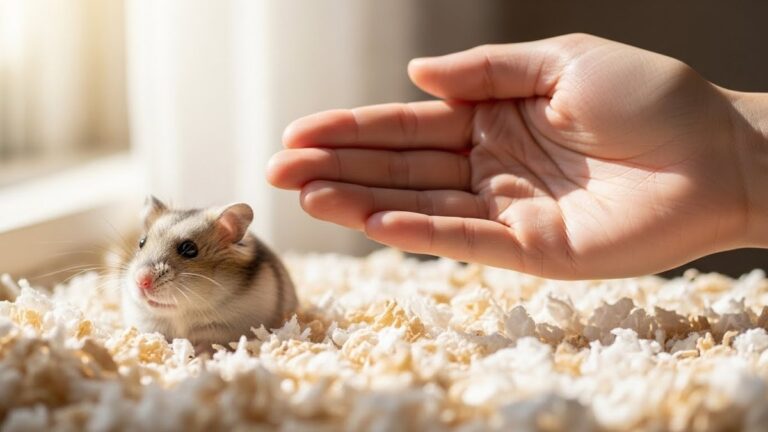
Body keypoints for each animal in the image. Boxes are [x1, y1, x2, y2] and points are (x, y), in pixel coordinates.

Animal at [119, 196, 297, 352]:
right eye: (141, 243)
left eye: (189, 249)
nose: (141, 281)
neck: (181, 315)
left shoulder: (230, 328)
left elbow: (212, 342)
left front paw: (197, 352)